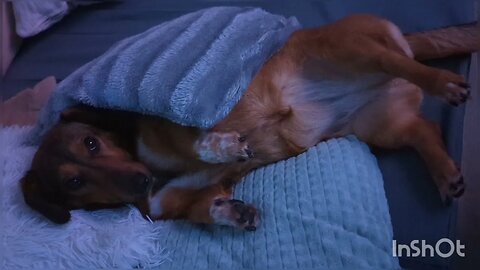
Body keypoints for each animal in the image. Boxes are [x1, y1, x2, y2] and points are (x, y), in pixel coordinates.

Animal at [21, 15, 480, 230]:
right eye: (74, 183)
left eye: (91, 143)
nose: (139, 182)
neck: (150, 165)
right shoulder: (180, 198)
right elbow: (202, 209)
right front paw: (231, 213)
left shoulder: (181, 120)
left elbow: (197, 139)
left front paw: (223, 146)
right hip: (379, 124)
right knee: (424, 130)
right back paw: (445, 174)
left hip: (353, 50)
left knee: (398, 61)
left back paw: (444, 83)